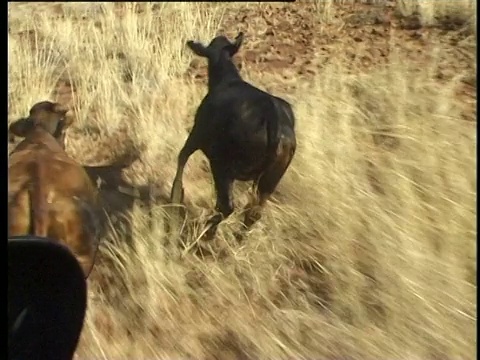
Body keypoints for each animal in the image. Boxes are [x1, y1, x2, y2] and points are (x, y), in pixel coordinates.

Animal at [171, 32, 294, 238]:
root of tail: (273, 120)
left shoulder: (196, 135)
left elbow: (182, 157)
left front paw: (175, 196)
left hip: (223, 166)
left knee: (227, 206)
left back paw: (206, 233)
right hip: (269, 180)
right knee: (253, 212)